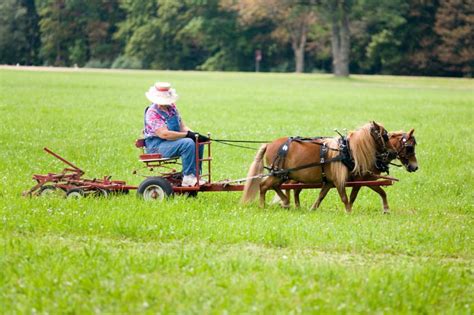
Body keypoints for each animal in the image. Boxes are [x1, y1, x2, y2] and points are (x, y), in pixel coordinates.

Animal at [241, 122, 392, 214]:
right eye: (385, 135)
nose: (391, 152)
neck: (346, 150)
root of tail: (269, 144)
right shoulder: (338, 180)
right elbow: (344, 197)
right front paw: (348, 211)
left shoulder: (330, 182)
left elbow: (321, 195)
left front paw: (313, 209)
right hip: (277, 174)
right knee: (263, 186)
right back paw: (262, 205)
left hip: (282, 174)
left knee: (274, 186)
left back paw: (286, 202)